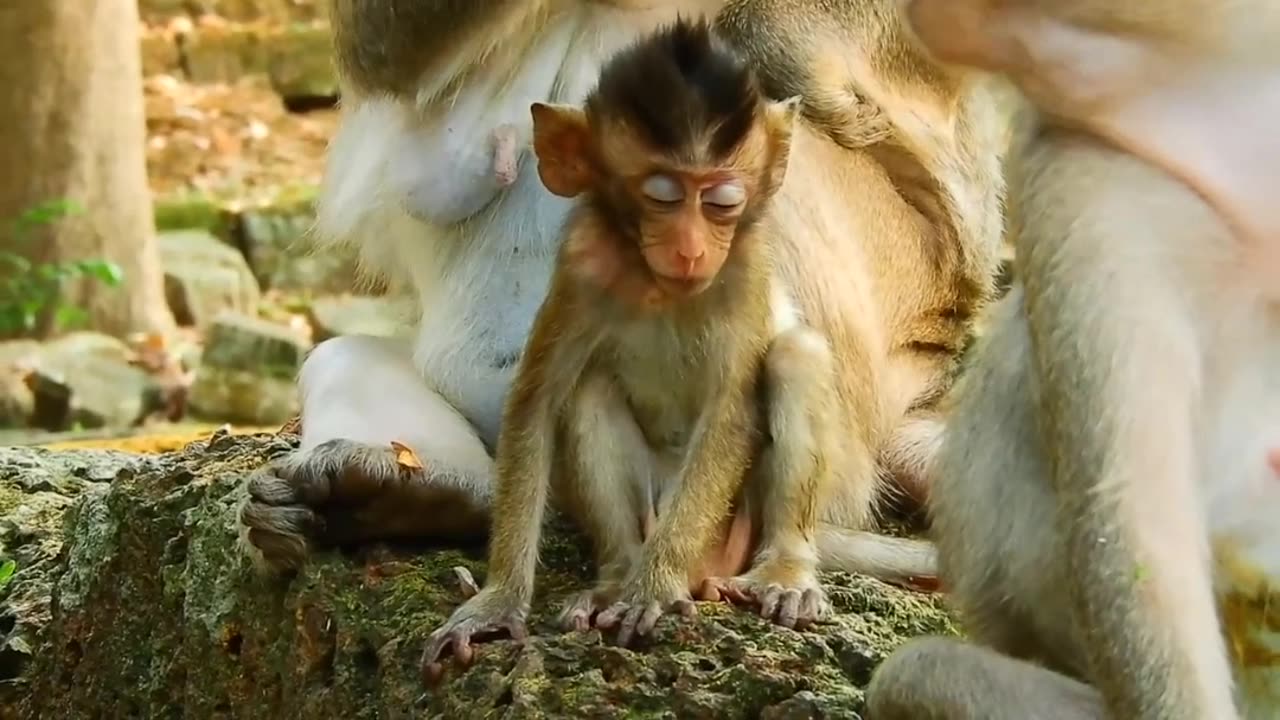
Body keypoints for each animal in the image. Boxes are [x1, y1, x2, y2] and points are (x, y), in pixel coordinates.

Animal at [424, 16, 855, 676]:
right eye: (662, 196)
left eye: (722, 201)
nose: (690, 249)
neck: (658, 286)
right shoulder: (581, 265)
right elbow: (536, 404)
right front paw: (497, 601)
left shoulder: (746, 272)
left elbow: (731, 413)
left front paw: (655, 589)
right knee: (587, 389)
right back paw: (616, 578)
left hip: (733, 529)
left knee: (795, 357)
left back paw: (780, 571)